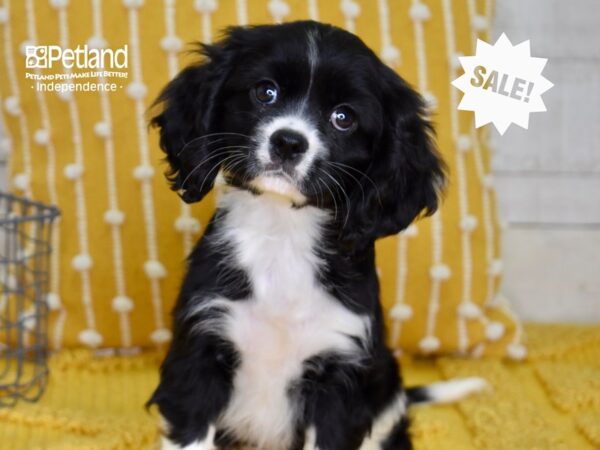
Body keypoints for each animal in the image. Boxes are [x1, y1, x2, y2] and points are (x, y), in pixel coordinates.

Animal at [149, 21, 488, 450]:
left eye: (343, 117)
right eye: (265, 92)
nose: (288, 142)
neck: (284, 237)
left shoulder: (340, 373)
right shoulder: (200, 347)